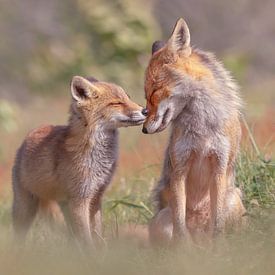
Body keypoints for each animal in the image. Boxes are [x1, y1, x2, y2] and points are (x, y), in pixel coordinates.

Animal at [143, 18, 247, 245]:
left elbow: (217, 225)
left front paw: (218, 250)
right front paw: (184, 252)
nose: (144, 129)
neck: (203, 129)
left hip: (233, 199)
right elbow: (180, 227)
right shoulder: (179, 169)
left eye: (154, 92)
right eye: (145, 96)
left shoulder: (219, 166)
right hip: (163, 219)